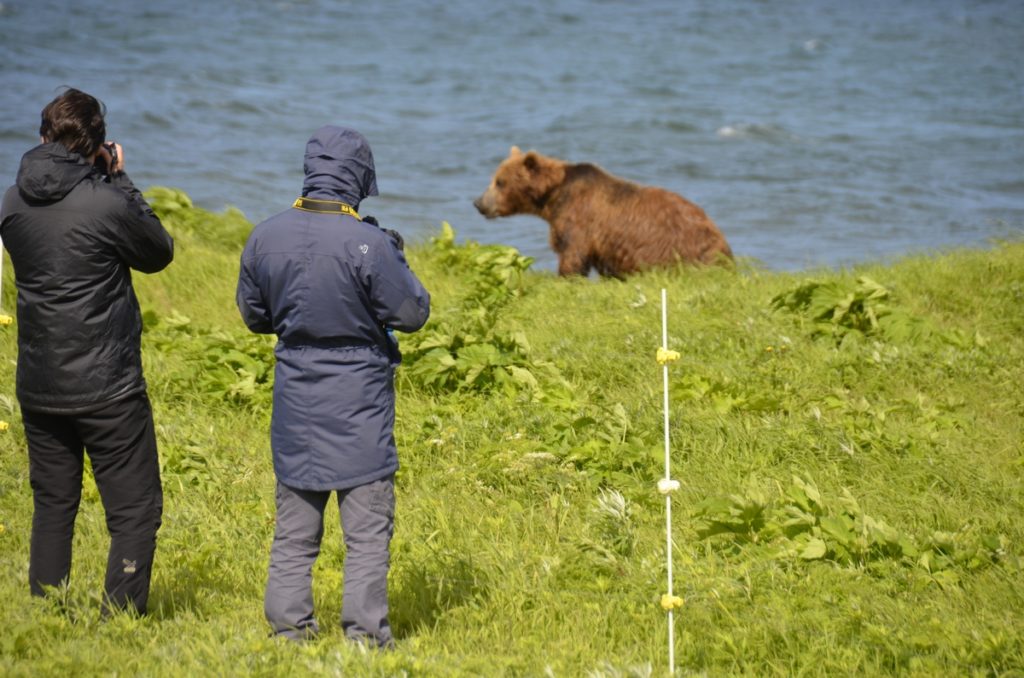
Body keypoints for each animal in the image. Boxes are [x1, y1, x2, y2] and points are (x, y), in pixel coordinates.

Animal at [475, 147, 733, 278]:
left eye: (499, 182)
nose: (478, 203)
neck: (553, 197)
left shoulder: (579, 219)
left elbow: (572, 254)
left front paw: (567, 277)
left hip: (675, 250)